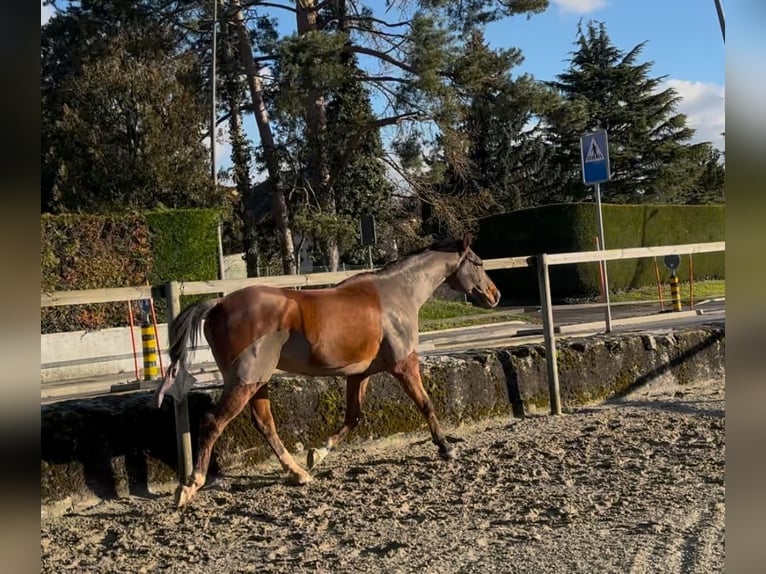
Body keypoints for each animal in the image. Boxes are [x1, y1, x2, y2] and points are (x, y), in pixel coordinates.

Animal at [156, 234, 504, 508]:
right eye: (478, 262)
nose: (495, 295)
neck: (396, 295)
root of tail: (217, 305)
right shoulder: (404, 365)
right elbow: (425, 404)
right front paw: (446, 447)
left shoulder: (358, 374)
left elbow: (353, 417)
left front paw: (317, 454)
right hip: (246, 380)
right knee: (214, 422)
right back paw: (189, 487)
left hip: (257, 382)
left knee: (264, 423)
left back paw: (299, 473)